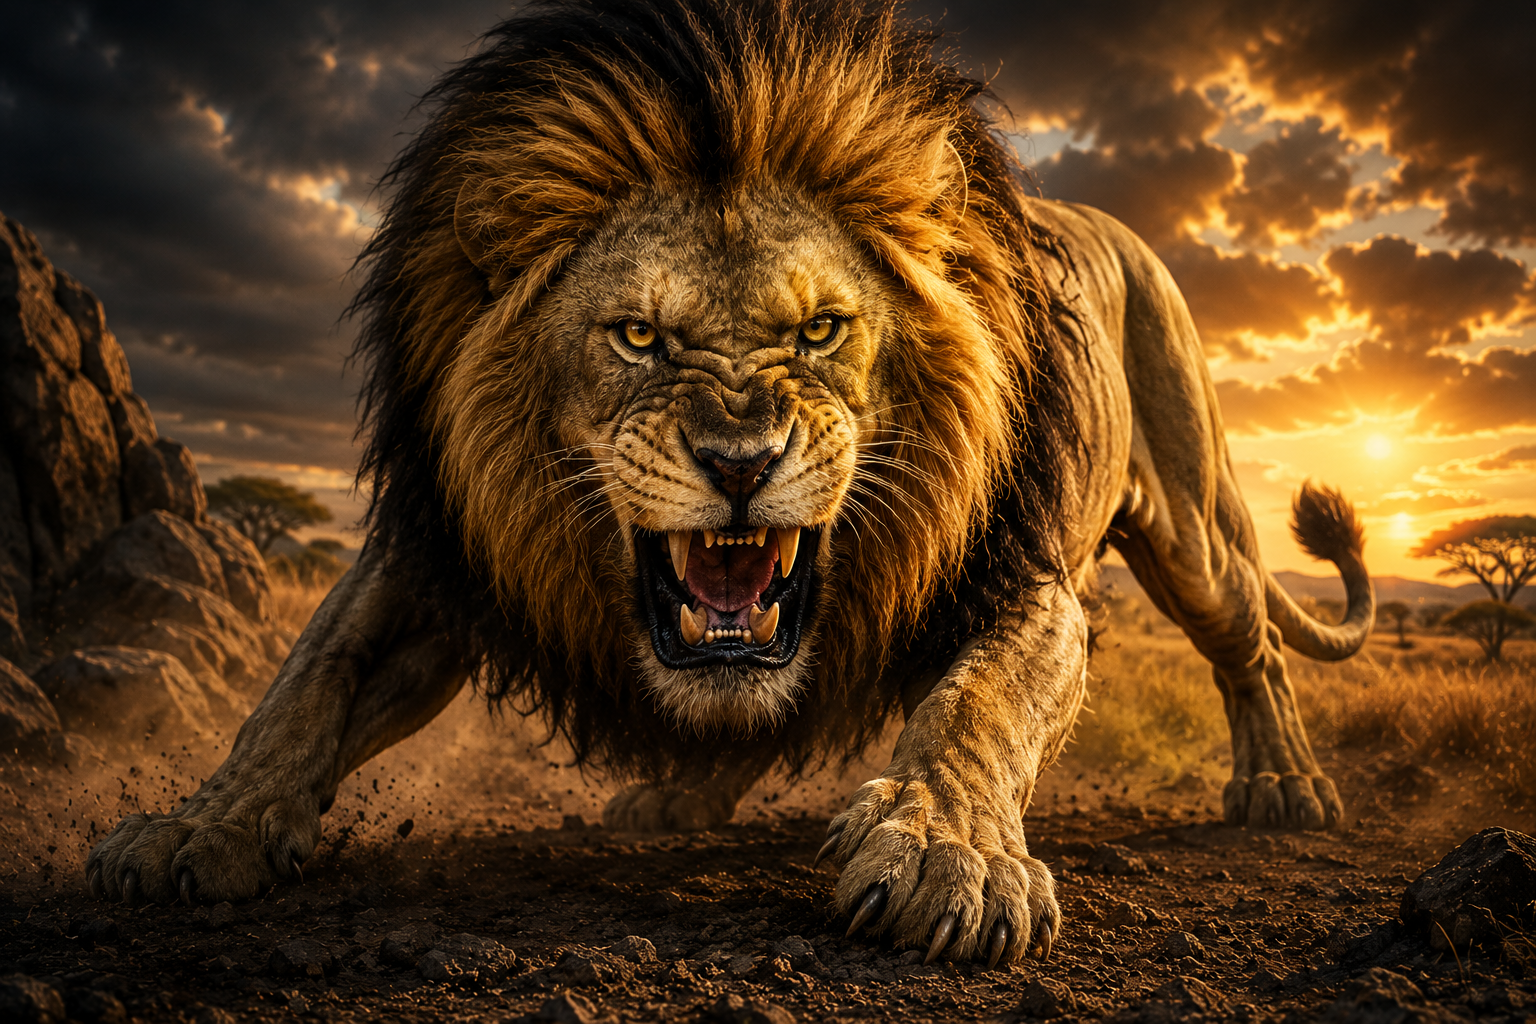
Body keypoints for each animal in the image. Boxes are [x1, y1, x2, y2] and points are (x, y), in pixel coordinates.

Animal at [85, 0, 1374, 966]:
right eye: (638, 336)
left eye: (820, 330)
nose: (743, 464)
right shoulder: (447, 544)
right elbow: (306, 685)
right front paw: (197, 827)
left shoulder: (1022, 570)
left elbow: (978, 703)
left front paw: (943, 852)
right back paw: (682, 794)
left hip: (1195, 523)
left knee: (1253, 643)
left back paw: (1287, 785)